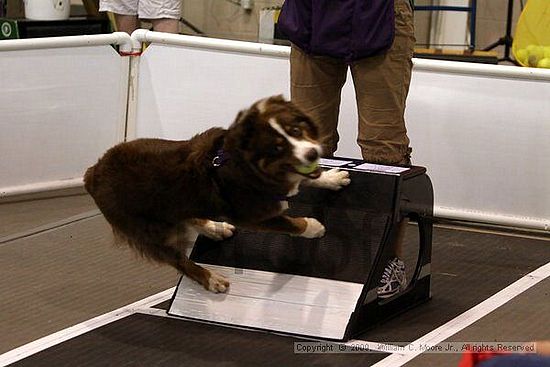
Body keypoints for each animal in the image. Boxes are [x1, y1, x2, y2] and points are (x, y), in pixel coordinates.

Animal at [84, 95, 352, 294]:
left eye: (296, 130)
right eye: (277, 148)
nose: (312, 154)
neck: (246, 165)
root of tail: (92, 173)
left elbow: (310, 178)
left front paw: (331, 178)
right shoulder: (252, 216)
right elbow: (291, 223)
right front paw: (314, 227)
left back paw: (214, 228)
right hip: (152, 232)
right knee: (180, 261)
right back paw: (211, 277)